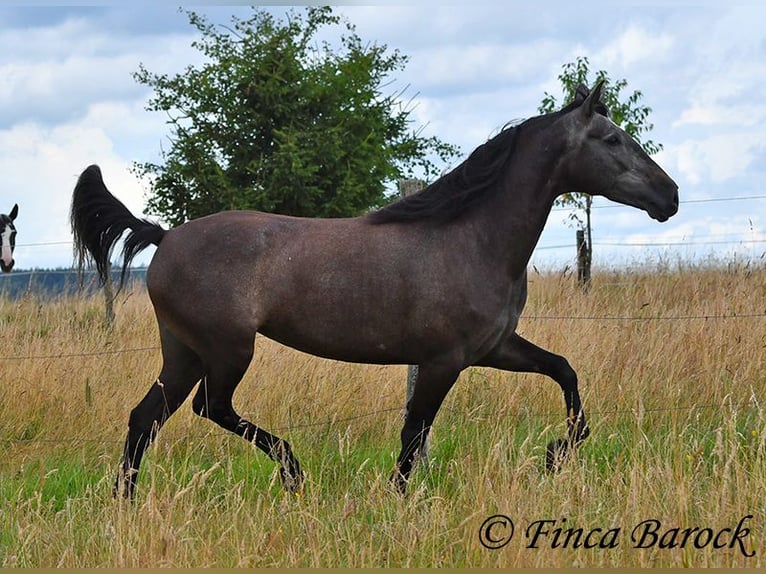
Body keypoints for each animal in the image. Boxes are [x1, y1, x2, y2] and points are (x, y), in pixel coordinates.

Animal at [69, 82, 680, 500]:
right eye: (611, 138)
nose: (669, 195)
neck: (472, 238)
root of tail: (165, 236)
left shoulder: (493, 349)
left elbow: (565, 374)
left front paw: (554, 458)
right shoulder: (443, 360)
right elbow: (413, 435)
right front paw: (398, 500)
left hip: (184, 351)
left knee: (145, 418)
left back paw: (127, 505)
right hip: (227, 349)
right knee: (210, 407)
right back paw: (293, 472)